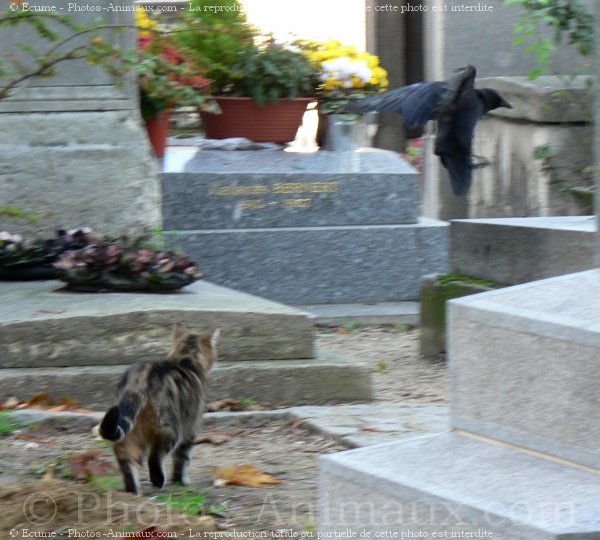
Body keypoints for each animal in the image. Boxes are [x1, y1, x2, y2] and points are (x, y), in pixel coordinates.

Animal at [99, 322, 219, 496]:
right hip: (168, 428)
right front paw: (180, 481)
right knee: (154, 456)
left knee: (125, 456)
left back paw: (132, 492)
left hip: (130, 430)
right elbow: (182, 458)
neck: (186, 360)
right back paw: (157, 481)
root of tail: (138, 379)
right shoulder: (191, 428)